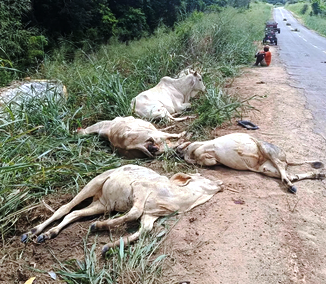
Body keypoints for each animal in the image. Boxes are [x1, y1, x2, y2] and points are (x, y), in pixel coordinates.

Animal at [21, 164, 224, 255]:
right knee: (64, 208)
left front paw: (109, 246)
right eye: (201, 176)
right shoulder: (139, 191)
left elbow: (145, 230)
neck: (177, 198)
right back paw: (33, 232)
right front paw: (99, 226)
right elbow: (133, 213)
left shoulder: (152, 214)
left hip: (101, 204)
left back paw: (48, 234)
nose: (221, 183)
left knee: (74, 213)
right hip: (94, 183)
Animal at [177, 133, 324, 194]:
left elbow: (192, 150)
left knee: (282, 168)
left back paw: (290, 184)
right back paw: (317, 175)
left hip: (266, 148)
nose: (176, 151)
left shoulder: (200, 144)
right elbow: (199, 158)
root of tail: (285, 158)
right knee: (292, 175)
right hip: (267, 169)